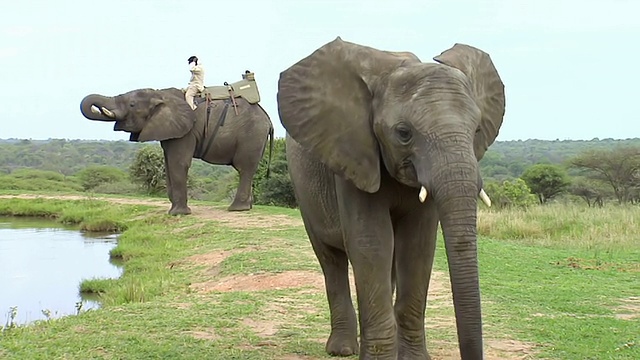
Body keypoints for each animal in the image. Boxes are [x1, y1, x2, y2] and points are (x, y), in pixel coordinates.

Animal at [79, 86, 272, 217]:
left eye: (132, 104)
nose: (98, 108)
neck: (160, 94)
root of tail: (268, 119)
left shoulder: (186, 131)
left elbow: (178, 163)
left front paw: (178, 214)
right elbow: (168, 164)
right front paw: (174, 210)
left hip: (252, 135)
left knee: (244, 168)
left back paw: (236, 209)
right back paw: (247, 207)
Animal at [278, 37, 508, 360]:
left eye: (476, 130)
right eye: (403, 133)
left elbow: (417, 246)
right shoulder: (354, 154)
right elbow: (371, 242)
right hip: (304, 191)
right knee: (331, 260)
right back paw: (342, 349)